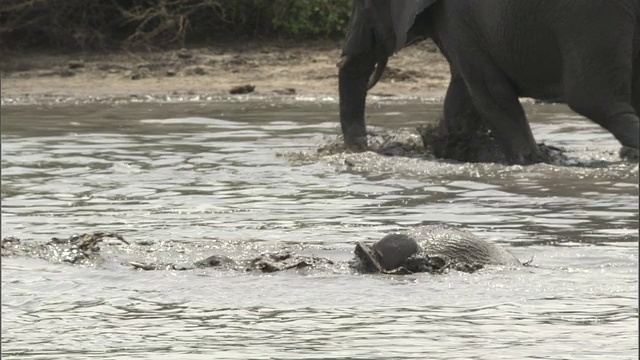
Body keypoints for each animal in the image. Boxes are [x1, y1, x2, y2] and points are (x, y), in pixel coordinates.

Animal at [338, 0, 636, 165]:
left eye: (364, 4)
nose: (361, 148)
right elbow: (462, 94)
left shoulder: (459, 20)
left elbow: (489, 94)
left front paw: (529, 161)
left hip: (591, 23)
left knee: (593, 101)